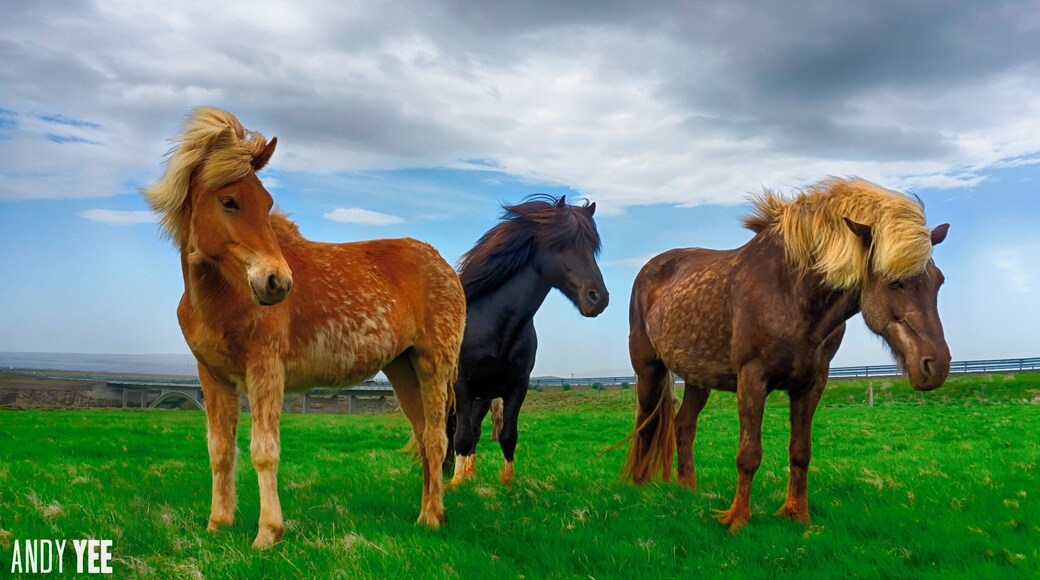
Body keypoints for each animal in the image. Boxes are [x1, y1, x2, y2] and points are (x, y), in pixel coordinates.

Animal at [143, 108, 465, 548]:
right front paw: (218, 524)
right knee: (423, 438)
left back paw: (432, 519)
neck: (223, 293)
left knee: (436, 440)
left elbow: (264, 450)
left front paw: (267, 533)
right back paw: (426, 514)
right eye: (229, 201)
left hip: (434, 366)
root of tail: (443, 264)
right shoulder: (212, 377)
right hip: (403, 369)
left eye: (266, 202)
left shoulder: (265, 370)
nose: (276, 282)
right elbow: (220, 449)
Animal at [448, 195, 608, 487]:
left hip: (483, 397)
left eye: (592, 248)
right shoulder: (462, 385)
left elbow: (507, 436)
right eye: (563, 244)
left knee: (475, 429)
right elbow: (460, 437)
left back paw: (470, 474)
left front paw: (507, 483)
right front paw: (453, 486)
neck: (496, 327)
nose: (598, 298)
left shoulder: (517, 386)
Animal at [623, 177, 951, 531]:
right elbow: (749, 454)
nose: (936, 365)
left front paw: (797, 515)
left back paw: (689, 490)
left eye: (939, 282)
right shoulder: (752, 379)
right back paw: (639, 487)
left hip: (699, 379)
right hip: (649, 370)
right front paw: (737, 519)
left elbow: (800, 452)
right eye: (894, 283)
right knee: (646, 424)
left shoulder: (811, 384)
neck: (790, 293)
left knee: (684, 425)